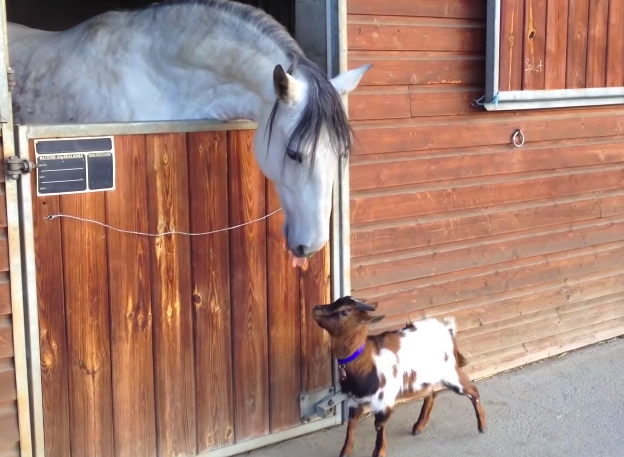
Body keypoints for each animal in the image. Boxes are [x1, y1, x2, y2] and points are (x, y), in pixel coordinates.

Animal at [312, 296, 488, 456]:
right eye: (336, 301)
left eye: (345, 311)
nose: (316, 308)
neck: (366, 362)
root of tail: (447, 329)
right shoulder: (355, 400)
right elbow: (351, 426)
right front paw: (345, 453)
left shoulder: (384, 401)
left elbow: (379, 426)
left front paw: (379, 452)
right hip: (423, 378)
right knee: (431, 393)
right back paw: (419, 427)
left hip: (450, 372)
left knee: (472, 390)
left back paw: (482, 426)